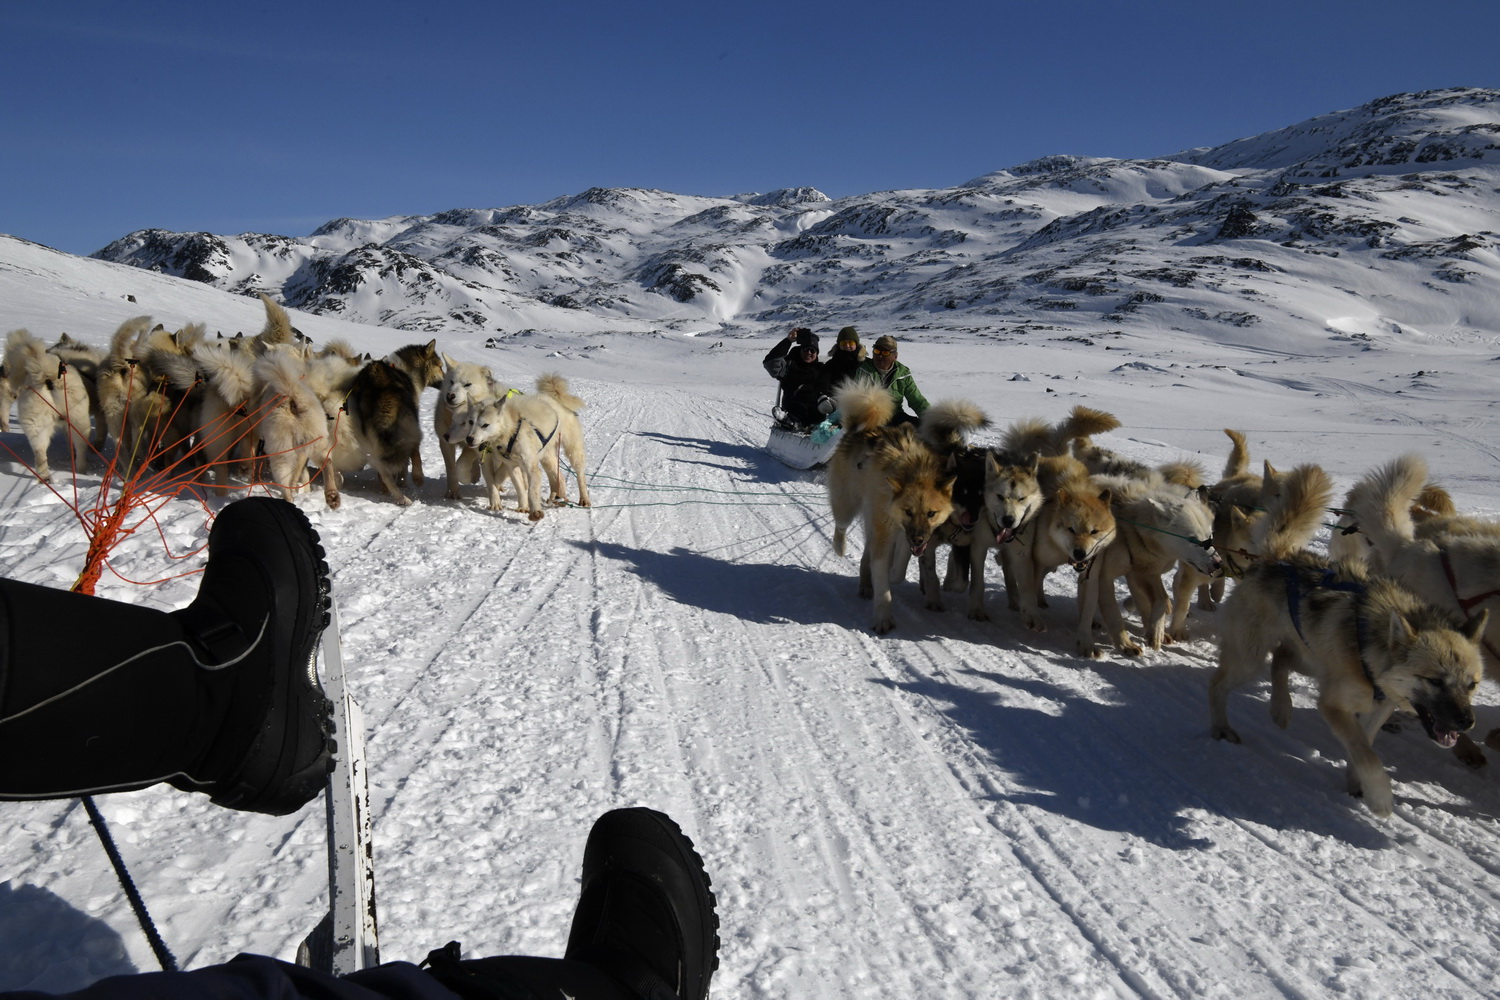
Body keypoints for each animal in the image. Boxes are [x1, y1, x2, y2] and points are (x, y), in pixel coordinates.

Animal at [345, 341, 444, 503]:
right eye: (440, 366)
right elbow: (411, 459)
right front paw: (411, 480)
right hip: (412, 427)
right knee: (410, 453)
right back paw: (410, 490)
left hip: (369, 443)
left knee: (384, 473)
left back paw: (397, 496)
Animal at [828, 380, 954, 632]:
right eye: (908, 511)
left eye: (931, 513)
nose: (919, 540)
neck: (913, 469)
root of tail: (857, 430)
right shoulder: (888, 530)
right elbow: (883, 578)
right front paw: (883, 617)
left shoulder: (902, 533)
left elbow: (897, 569)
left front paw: (894, 572)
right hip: (847, 505)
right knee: (841, 525)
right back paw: (840, 547)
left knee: (867, 553)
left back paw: (866, 583)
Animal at [1206, 464, 1488, 815]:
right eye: (1434, 681)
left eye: (1472, 684)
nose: (1466, 721)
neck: (1371, 653)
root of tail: (1280, 557)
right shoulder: (1333, 705)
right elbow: (1367, 755)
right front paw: (1380, 797)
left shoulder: (1377, 709)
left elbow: (1364, 747)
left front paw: (1357, 783)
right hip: (1251, 657)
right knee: (1219, 684)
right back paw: (1222, 726)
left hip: (1312, 657)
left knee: (1282, 659)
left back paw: (1281, 709)